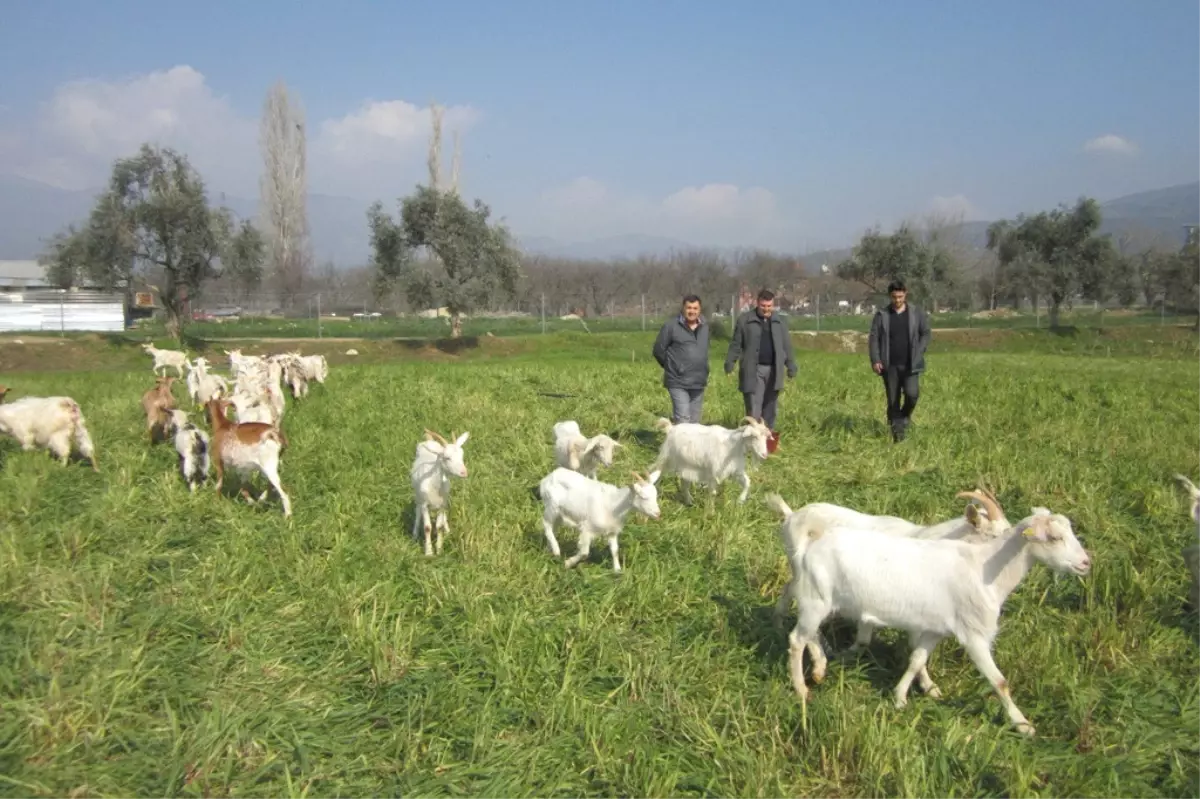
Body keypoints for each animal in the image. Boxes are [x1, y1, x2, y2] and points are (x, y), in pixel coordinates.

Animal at [763, 491, 1094, 734]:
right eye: (1054, 537)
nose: (1085, 563)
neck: (982, 568)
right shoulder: (974, 635)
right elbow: (999, 681)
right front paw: (1023, 724)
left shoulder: (934, 629)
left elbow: (916, 659)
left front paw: (903, 697)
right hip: (816, 600)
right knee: (797, 639)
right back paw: (802, 687)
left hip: (817, 599)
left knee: (805, 628)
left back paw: (816, 662)